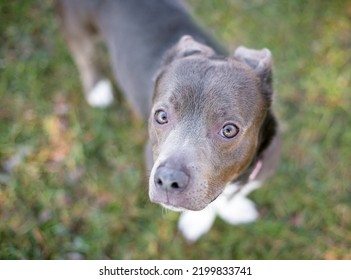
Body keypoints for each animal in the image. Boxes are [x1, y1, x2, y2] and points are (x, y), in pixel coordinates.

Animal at [55, 0, 280, 241]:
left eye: (229, 130)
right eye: (161, 116)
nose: (169, 179)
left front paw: (234, 209)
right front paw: (198, 221)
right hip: (77, 28)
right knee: (85, 57)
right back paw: (96, 88)